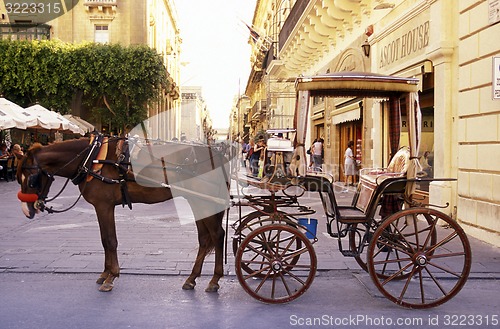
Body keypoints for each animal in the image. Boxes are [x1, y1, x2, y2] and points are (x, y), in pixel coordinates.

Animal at [15, 135, 230, 290]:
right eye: (18, 178)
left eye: (32, 179)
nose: (26, 210)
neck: (91, 158)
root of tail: (218, 154)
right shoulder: (102, 207)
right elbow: (104, 240)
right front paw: (104, 273)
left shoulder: (104, 206)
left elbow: (110, 240)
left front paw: (111, 276)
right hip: (198, 201)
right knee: (204, 238)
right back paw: (192, 278)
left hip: (204, 202)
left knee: (217, 235)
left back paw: (214, 280)